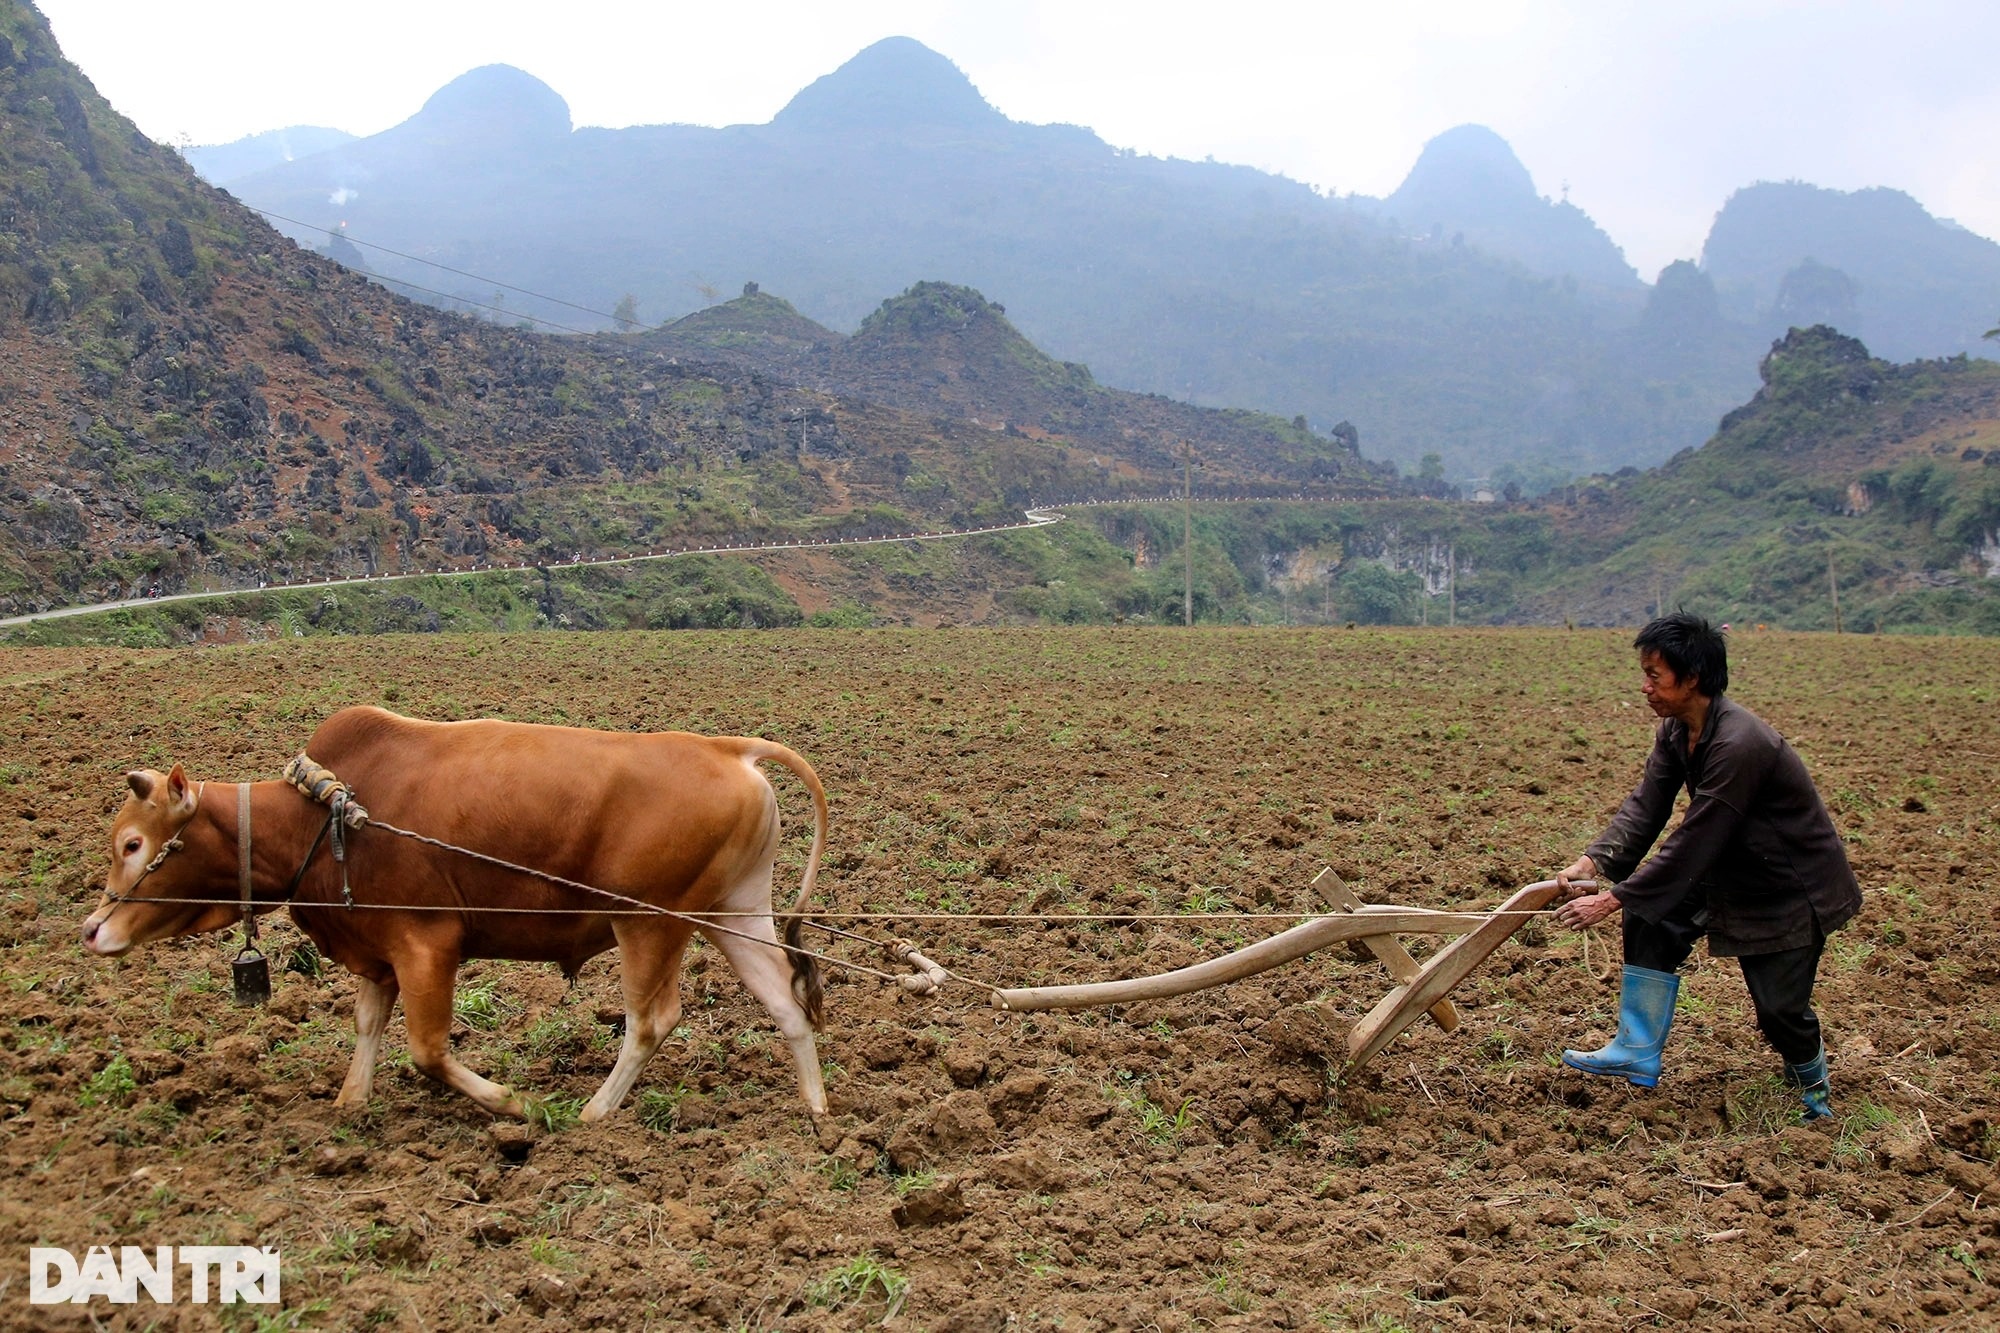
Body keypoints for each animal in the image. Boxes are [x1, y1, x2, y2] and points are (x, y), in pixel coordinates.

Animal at [82, 704, 832, 1120]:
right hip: (733, 914)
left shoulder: (426, 946)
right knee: (787, 1002)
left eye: (133, 843)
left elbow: (428, 1051)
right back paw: (818, 1111)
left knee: (652, 1022)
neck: (324, 817)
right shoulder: (377, 955)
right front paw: (350, 1103)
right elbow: (367, 1027)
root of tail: (727, 749)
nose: (93, 929)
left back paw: (592, 1113)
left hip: (650, 922)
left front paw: (515, 1103)